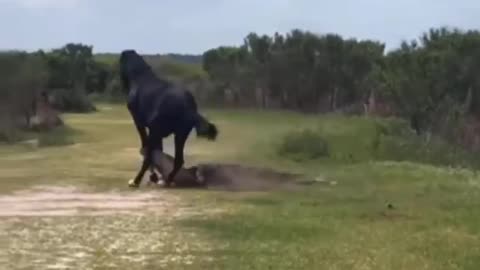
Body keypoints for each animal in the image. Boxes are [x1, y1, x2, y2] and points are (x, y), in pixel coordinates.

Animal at [119, 49, 218, 188]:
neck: (140, 77)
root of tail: (188, 105)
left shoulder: (141, 124)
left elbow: (146, 150)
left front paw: (153, 177)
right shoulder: (156, 132)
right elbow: (158, 152)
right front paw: (156, 177)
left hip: (157, 131)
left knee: (148, 155)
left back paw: (136, 181)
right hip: (179, 134)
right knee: (178, 160)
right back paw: (168, 179)